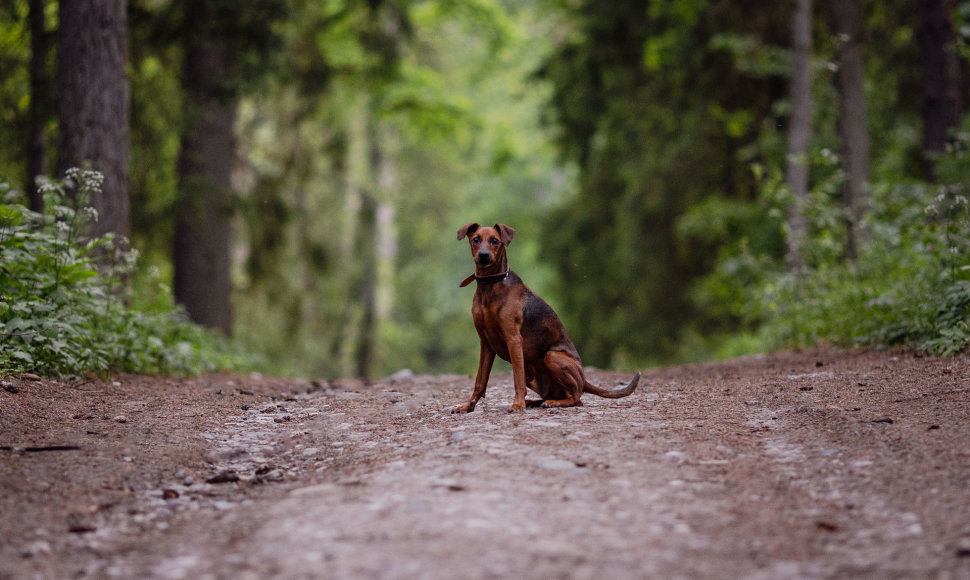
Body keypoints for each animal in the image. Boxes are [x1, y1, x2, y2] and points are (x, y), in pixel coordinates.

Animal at [456, 222, 644, 412]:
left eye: (495, 240)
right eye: (476, 239)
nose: (483, 255)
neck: (490, 286)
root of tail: (584, 379)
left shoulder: (513, 339)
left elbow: (517, 378)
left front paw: (517, 404)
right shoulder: (486, 343)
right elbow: (480, 381)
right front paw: (467, 406)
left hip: (551, 356)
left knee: (577, 398)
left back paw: (551, 403)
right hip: (533, 375)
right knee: (557, 395)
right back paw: (534, 402)